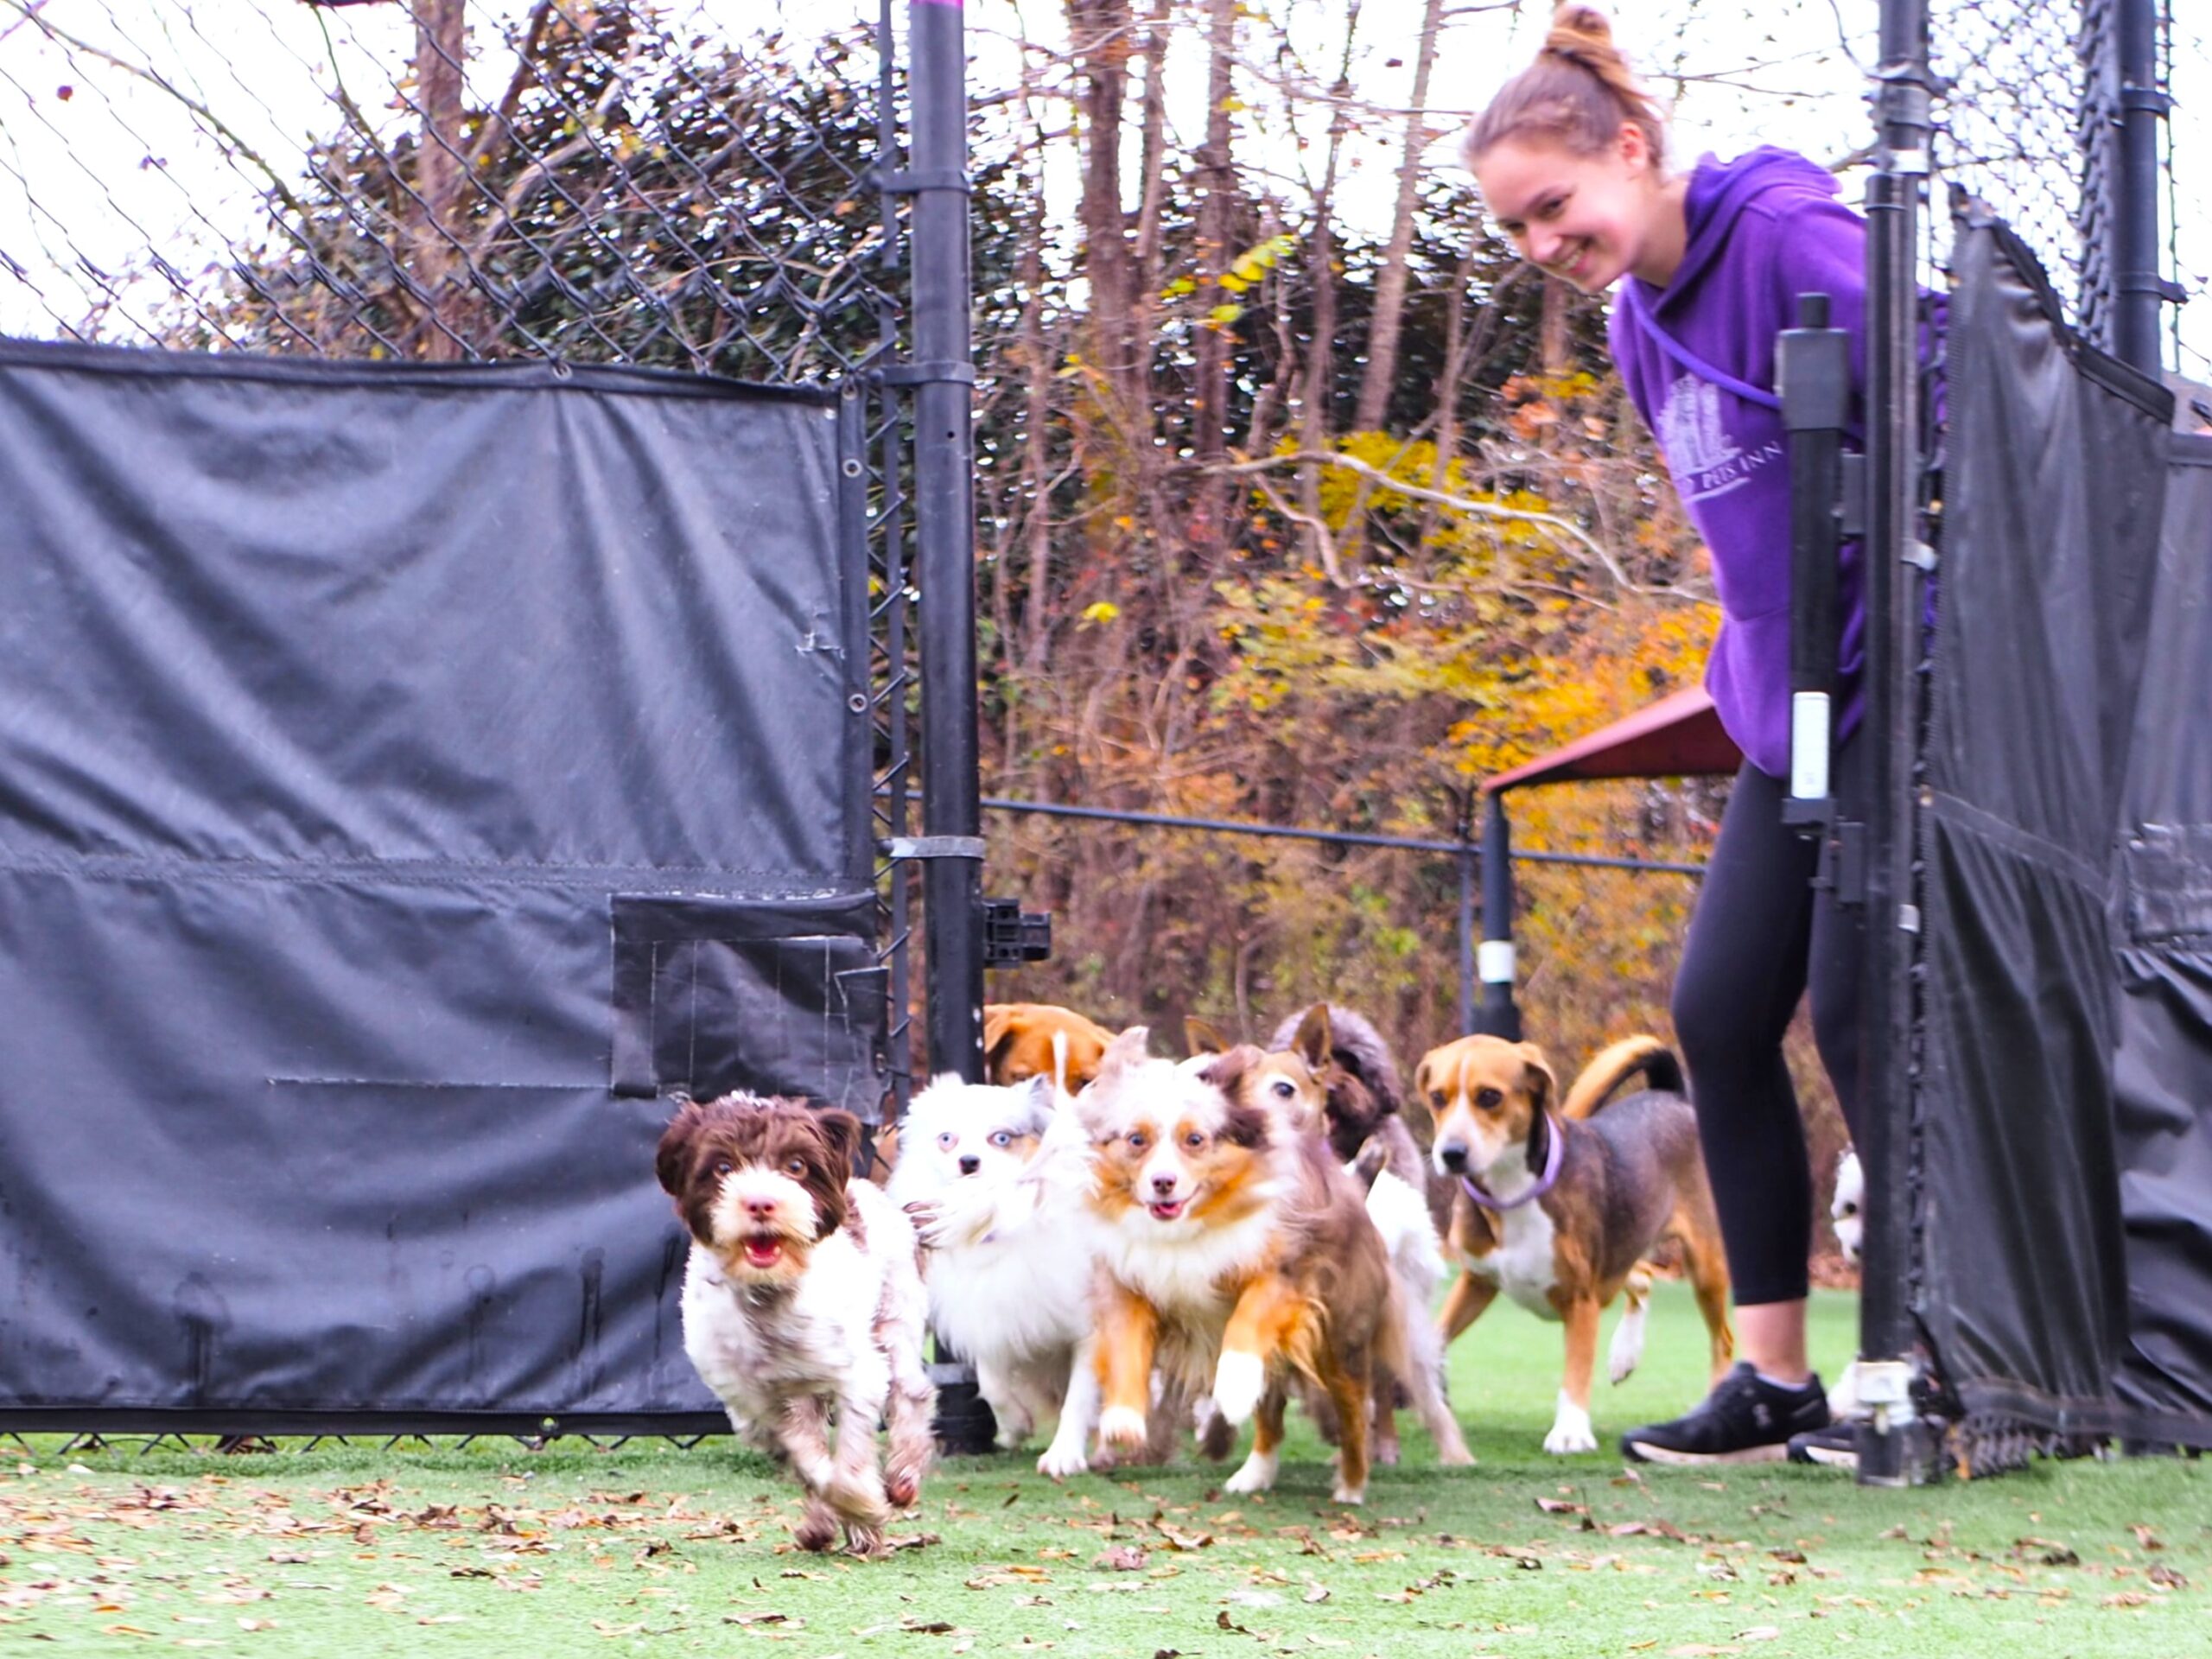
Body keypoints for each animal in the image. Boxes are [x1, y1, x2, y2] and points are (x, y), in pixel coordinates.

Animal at [889, 1079, 1106, 1478]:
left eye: (1002, 1138)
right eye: (947, 1139)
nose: (968, 1162)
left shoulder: (1093, 1326)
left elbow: (1080, 1395)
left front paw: (1063, 1455)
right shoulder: (990, 1315)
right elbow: (991, 1384)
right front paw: (1015, 1426)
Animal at [1079, 1026, 1407, 1503]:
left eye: (1195, 1140)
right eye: (1136, 1140)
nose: (1163, 1183)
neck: (1191, 1226)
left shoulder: (1287, 1273)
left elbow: (1247, 1319)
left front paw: (1232, 1386)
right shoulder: (1128, 1279)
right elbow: (1125, 1341)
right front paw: (1121, 1418)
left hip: (1341, 1342)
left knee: (1351, 1415)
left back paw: (1350, 1483)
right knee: (1270, 1419)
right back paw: (1253, 1474)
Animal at [1407, 1035, 1734, 1459]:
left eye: (1490, 1096)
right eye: (1437, 1097)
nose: (1451, 1153)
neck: (1513, 1193)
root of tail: (1673, 1093)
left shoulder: (1581, 1300)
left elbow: (1575, 1371)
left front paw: (1570, 1431)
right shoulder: (1477, 1282)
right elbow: (1434, 1339)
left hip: (1705, 1267)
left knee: (1723, 1342)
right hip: (1620, 1254)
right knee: (1643, 1277)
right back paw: (1625, 1353)